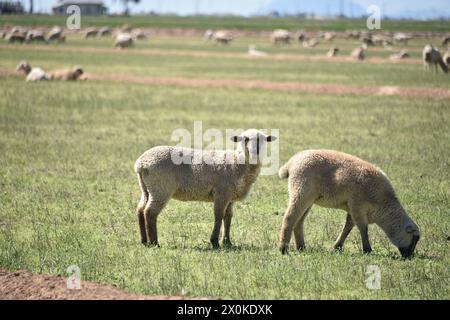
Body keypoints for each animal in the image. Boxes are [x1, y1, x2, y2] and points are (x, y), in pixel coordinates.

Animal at [134, 128, 276, 248]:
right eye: (245, 139)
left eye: (263, 139)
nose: (255, 152)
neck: (237, 162)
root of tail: (140, 163)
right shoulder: (222, 193)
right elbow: (218, 216)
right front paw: (215, 242)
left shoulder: (230, 196)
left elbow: (228, 217)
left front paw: (227, 242)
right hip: (161, 188)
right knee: (150, 212)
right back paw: (155, 243)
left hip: (146, 188)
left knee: (140, 210)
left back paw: (144, 241)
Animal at [280, 149, 420, 258]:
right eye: (414, 240)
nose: (409, 257)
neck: (384, 204)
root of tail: (291, 163)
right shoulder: (357, 206)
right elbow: (363, 228)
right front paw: (367, 250)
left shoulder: (353, 208)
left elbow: (348, 227)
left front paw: (337, 246)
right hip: (301, 190)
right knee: (289, 218)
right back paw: (283, 249)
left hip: (309, 198)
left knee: (299, 221)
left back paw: (301, 247)